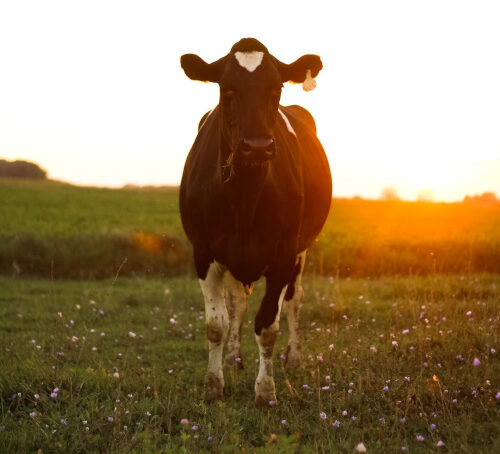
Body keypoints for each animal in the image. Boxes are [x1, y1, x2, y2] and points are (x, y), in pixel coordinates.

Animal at [180, 36, 332, 404]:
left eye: (276, 88)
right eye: (227, 89)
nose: (258, 146)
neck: (244, 197)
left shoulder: (283, 255)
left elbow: (268, 326)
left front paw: (265, 391)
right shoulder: (203, 251)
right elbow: (216, 324)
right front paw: (213, 385)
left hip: (301, 252)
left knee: (294, 301)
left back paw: (294, 357)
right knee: (238, 303)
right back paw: (233, 357)